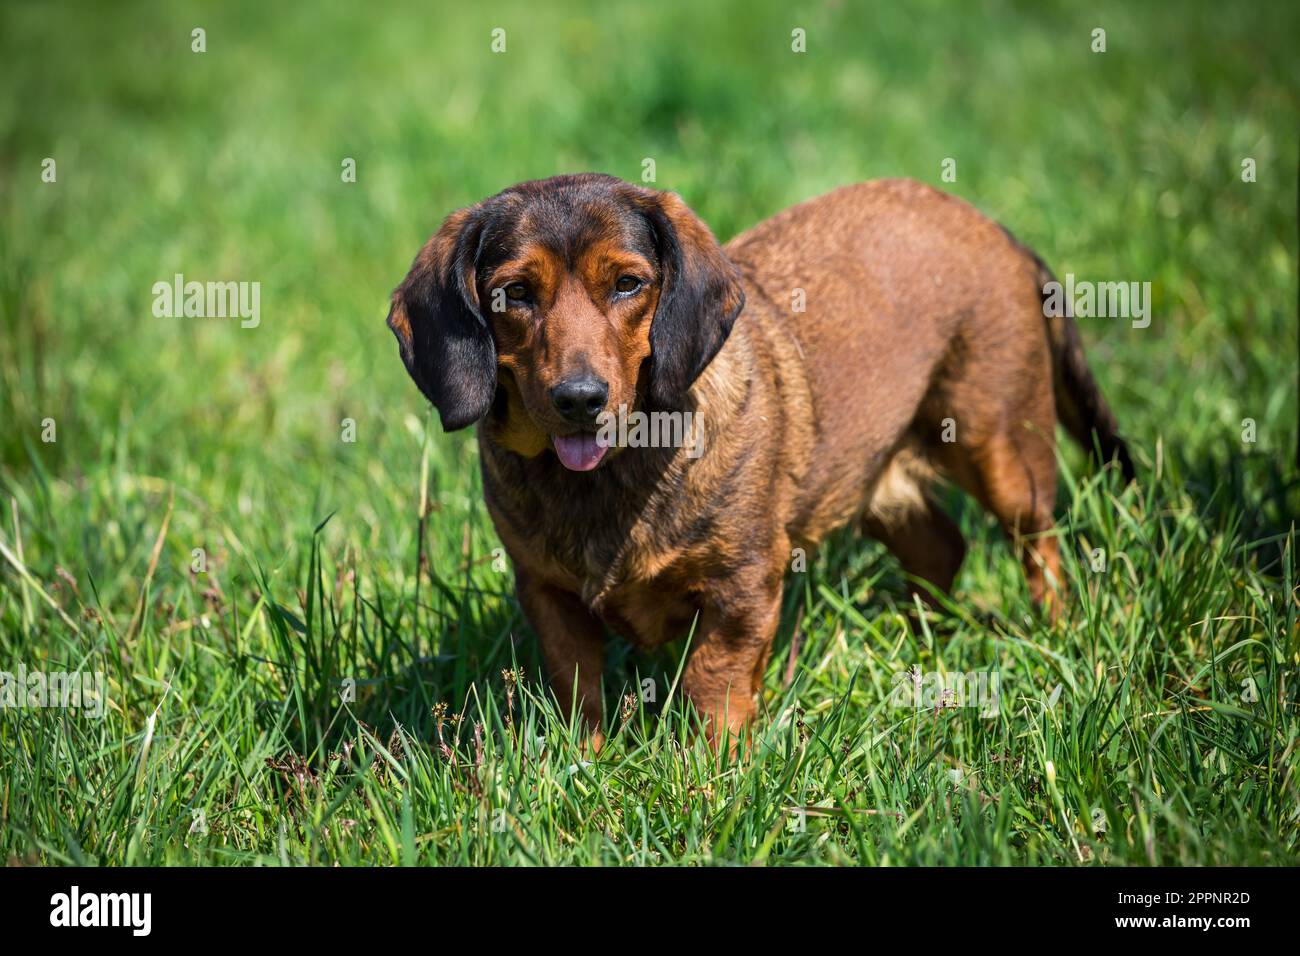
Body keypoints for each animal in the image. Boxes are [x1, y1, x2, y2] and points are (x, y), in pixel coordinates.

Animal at [382, 174, 1128, 749]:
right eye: (513, 294)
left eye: (627, 284)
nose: (580, 399)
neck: (614, 474)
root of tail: (991, 226)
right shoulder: (547, 593)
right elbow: (577, 688)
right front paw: (580, 764)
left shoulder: (741, 589)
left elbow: (712, 681)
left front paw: (710, 774)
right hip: (871, 477)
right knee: (941, 547)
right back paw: (921, 635)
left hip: (1000, 452)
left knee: (1039, 547)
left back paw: (1053, 632)